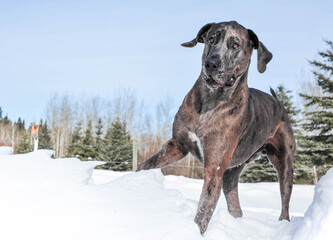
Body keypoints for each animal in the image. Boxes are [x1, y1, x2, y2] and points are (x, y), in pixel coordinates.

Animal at [136, 21, 294, 234]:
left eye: (235, 45)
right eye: (211, 39)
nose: (211, 63)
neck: (210, 101)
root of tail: (279, 103)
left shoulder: (213, 169)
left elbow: (203, 212)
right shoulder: (177, 145)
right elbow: (147, 164)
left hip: (284, 164)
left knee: (285, 203)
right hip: (232, 173)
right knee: (235, 205)